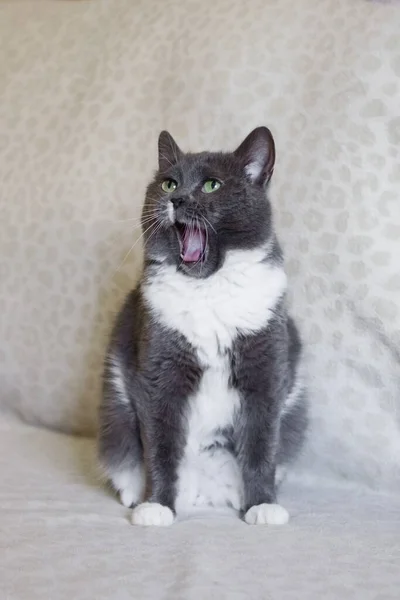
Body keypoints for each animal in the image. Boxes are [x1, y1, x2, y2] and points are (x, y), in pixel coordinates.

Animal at [98, 125, 308, 524]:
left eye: (212, 185)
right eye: (168, 183)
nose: (177, 199)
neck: (208, 288)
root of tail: (204, 492)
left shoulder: (265, 369)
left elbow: (261, 444)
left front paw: (262, 505)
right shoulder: (159, 369)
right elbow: (160, 445)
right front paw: (157, 505)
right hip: (115, 415)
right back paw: (137, 495)